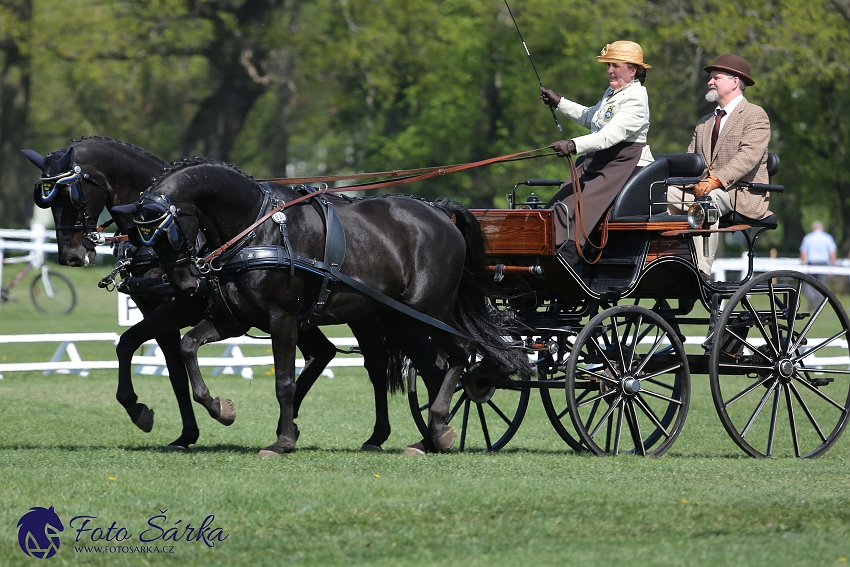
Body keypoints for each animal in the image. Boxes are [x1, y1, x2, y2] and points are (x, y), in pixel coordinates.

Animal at [21, 139, 402, 452]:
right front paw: (155, 418)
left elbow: (171, 360)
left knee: (374, 365)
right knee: (323, 354)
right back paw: (295, 425)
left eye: (73, 194)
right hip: (308, 317)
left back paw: (375, 434)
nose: (71, 256)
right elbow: (143, 353)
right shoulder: (158, 310)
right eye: (46, 200)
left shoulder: (182, 307)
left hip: (362, 316)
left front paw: (191, 421)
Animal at [126, 159, 528, 458]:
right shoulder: (232, 319)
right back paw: (432, 437)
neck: (255, 230)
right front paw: (220, 409)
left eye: (165, 232)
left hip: (429, 310)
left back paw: (438, 425)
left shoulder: (283, 319)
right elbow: (188, 346)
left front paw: (283, 441)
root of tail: (439, 212)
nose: (186, 286)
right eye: (139, 236)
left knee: (462, 351)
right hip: (400, 319)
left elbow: (285, 381)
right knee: (434, 369)